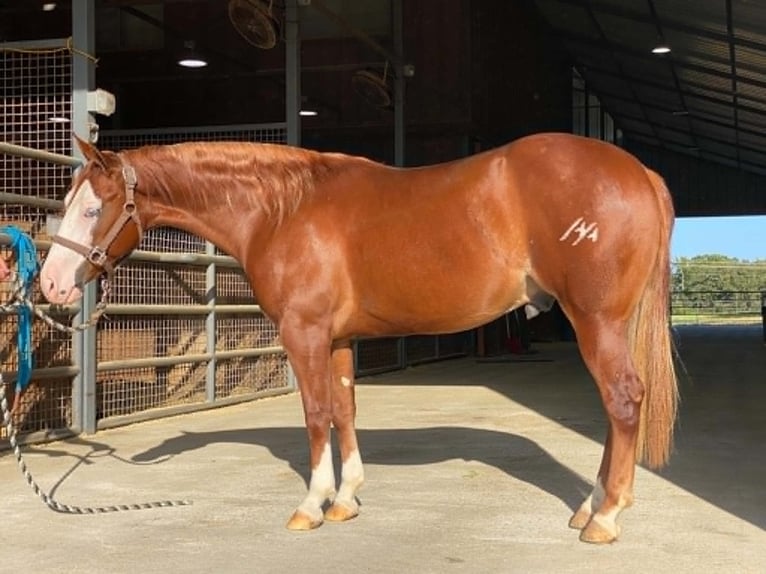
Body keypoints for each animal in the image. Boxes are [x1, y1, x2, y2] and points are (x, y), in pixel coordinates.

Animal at [39, 132, 678, 544]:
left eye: (94, 208)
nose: (50, 285)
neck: (282, 209)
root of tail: (638, 171)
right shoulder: (339, 339)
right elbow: (344, 411)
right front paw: (345, 500)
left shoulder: (304, 333)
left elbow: (316, 413)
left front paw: (310, 506)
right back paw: (591, 507)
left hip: (596, 321)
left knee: (623, 401)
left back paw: (604, 518)